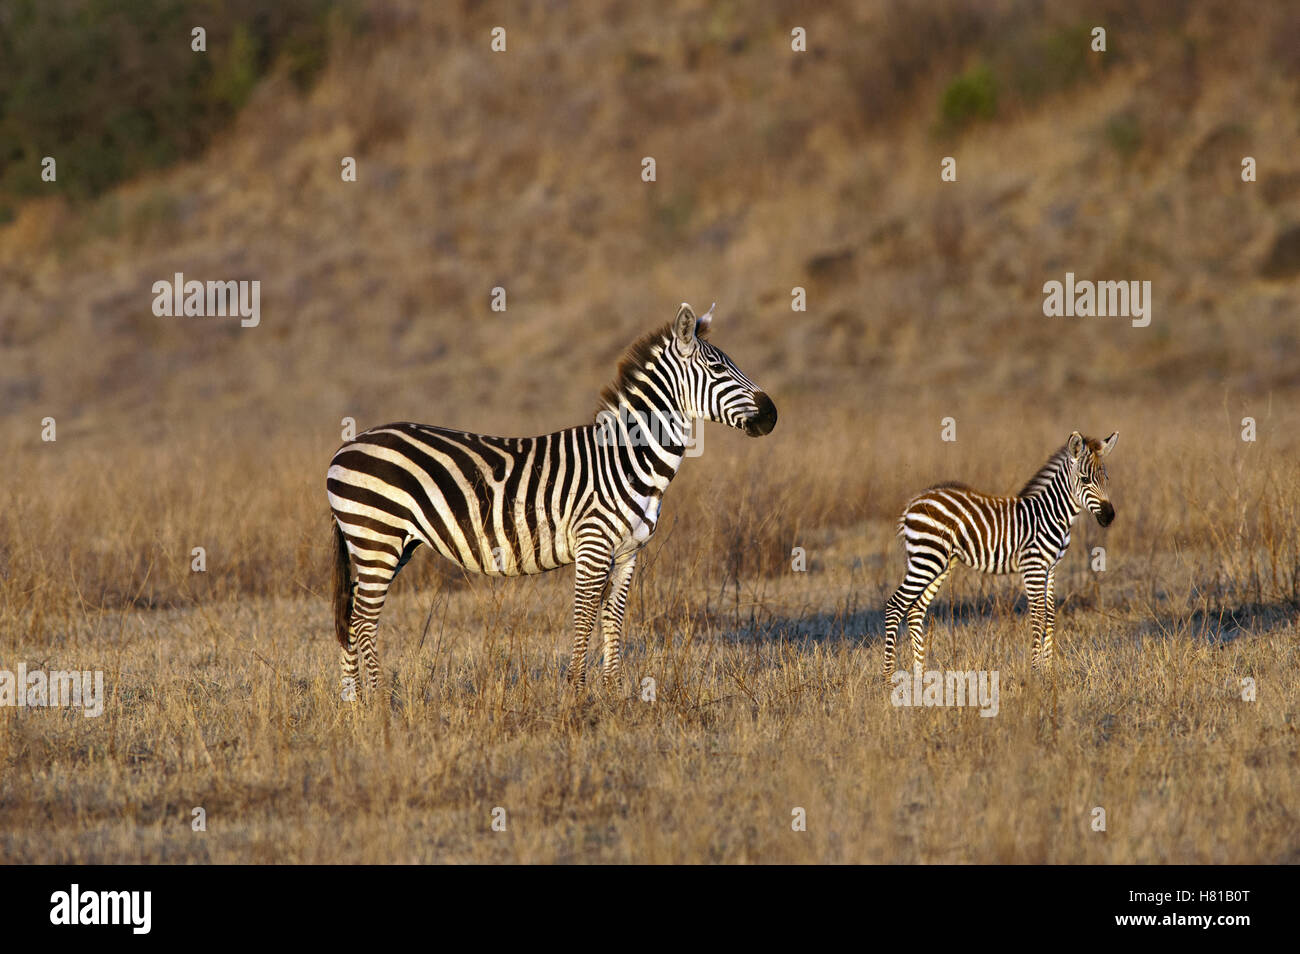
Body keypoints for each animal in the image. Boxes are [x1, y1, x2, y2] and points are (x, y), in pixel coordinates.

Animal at [327, 302, 777, 698]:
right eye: (717, 369)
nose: (772, 414)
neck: (629, 459)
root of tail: (347, 446)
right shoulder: (593, 546)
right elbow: (584, 619)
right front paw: (575, 696)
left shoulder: (629, 552)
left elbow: (613, 619)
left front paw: (614, 694)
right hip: (377, 537)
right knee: (364, 620)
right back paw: (380, 703)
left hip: (384, 543)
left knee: (352, 617)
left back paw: (354, 705)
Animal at [882, 431, 1117, 679]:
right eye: (1085, 479)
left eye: (1106, 479)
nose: (1109, 516)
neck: (1050, 514)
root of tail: (912, 504)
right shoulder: (1033, 566)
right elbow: (1038, 615)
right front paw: (1036, 673)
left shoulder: (1051, 567)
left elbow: (1050, 615)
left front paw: (1048, 673)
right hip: (927, 557)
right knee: (895, 605)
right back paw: (888, 679)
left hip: (938, 562)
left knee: (915, 609)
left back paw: (921, 677)